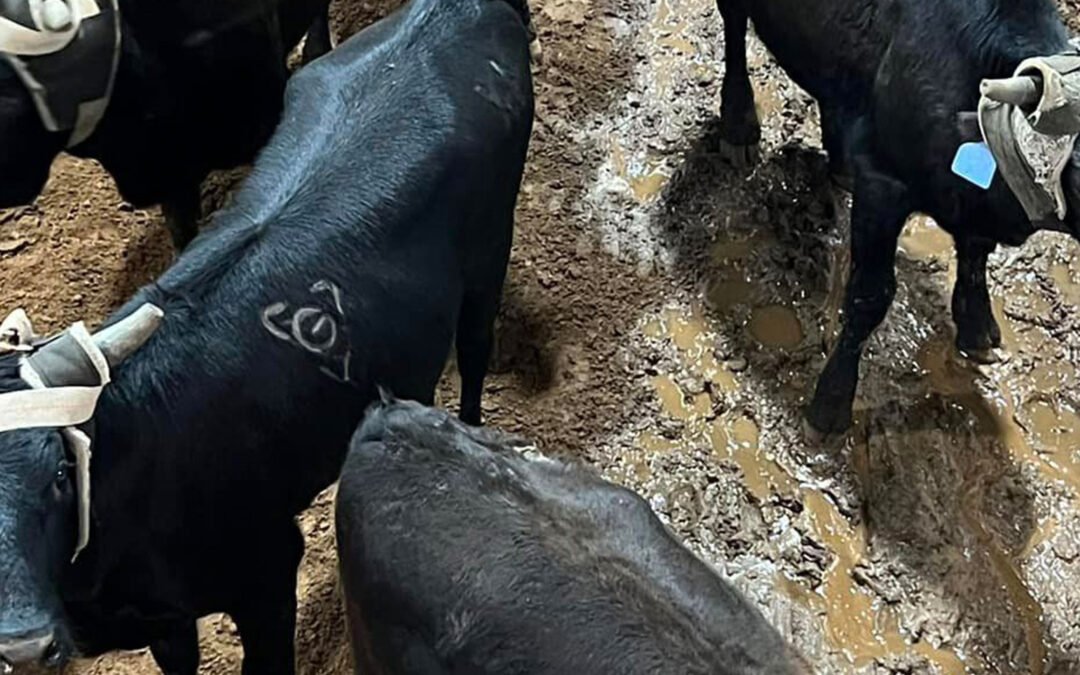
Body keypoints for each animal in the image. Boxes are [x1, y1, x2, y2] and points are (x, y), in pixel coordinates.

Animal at [713, 0, 1080, 434]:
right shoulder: (884, 182)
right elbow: (870, 294)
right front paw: (830, 406)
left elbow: (975, 258)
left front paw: (978, 332)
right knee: (734, 26)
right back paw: (738, 128)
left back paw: (840, 158)